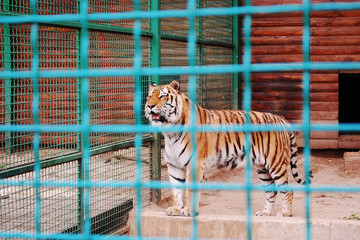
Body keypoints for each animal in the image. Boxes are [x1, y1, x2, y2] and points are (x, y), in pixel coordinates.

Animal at [145, 80, 310, 218]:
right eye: (149, 96)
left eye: (162, 96)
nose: (150, 106)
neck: (170, 132)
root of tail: (281, 119)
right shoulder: (174, 165)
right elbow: (176, 190)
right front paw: (175, 209)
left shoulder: (194, 164)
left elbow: (190, 190)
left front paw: (189, 211)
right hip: (262, 168)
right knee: (271, 191)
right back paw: (264, 213)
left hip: (276, 163)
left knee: (287, 190)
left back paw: (285, 214)